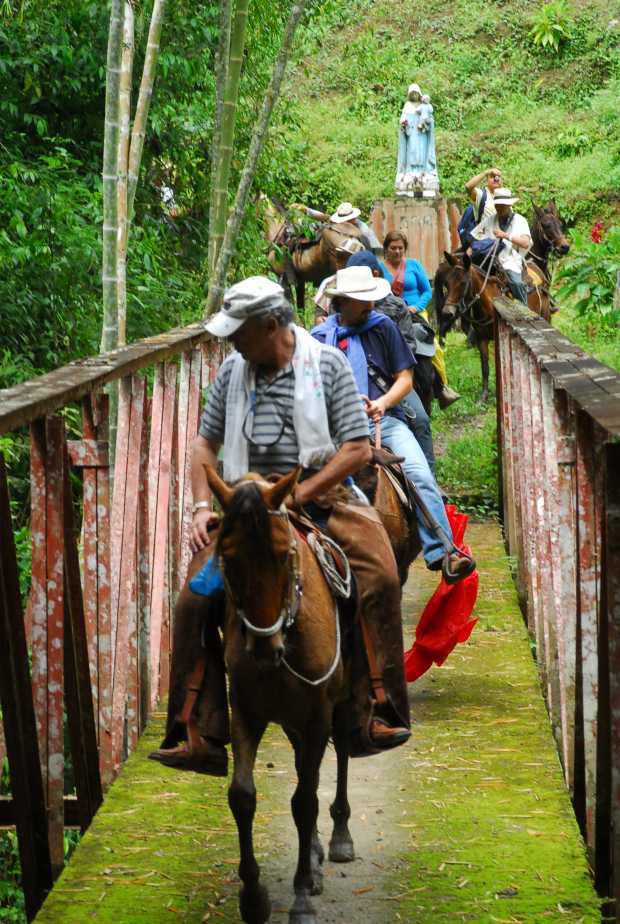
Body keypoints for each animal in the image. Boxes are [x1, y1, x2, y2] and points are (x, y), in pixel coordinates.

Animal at [204, 464, 361, 924]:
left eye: (283, 554)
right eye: (228, 558)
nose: (263, 649)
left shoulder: (317, 715)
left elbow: (305, 801)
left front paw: (302, 895)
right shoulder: (246, 711)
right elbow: (242, 795)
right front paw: (253, 898)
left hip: (338, 704)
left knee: (339, 754)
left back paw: (339, 837)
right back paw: (314, 854)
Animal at [437, 251, 551, 402]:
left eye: (463, 283)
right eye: (447, 283)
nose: (447, 312)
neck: (489, 304)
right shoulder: (482, 339)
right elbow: (485, 367)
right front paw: (483, 396)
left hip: (545, 316)